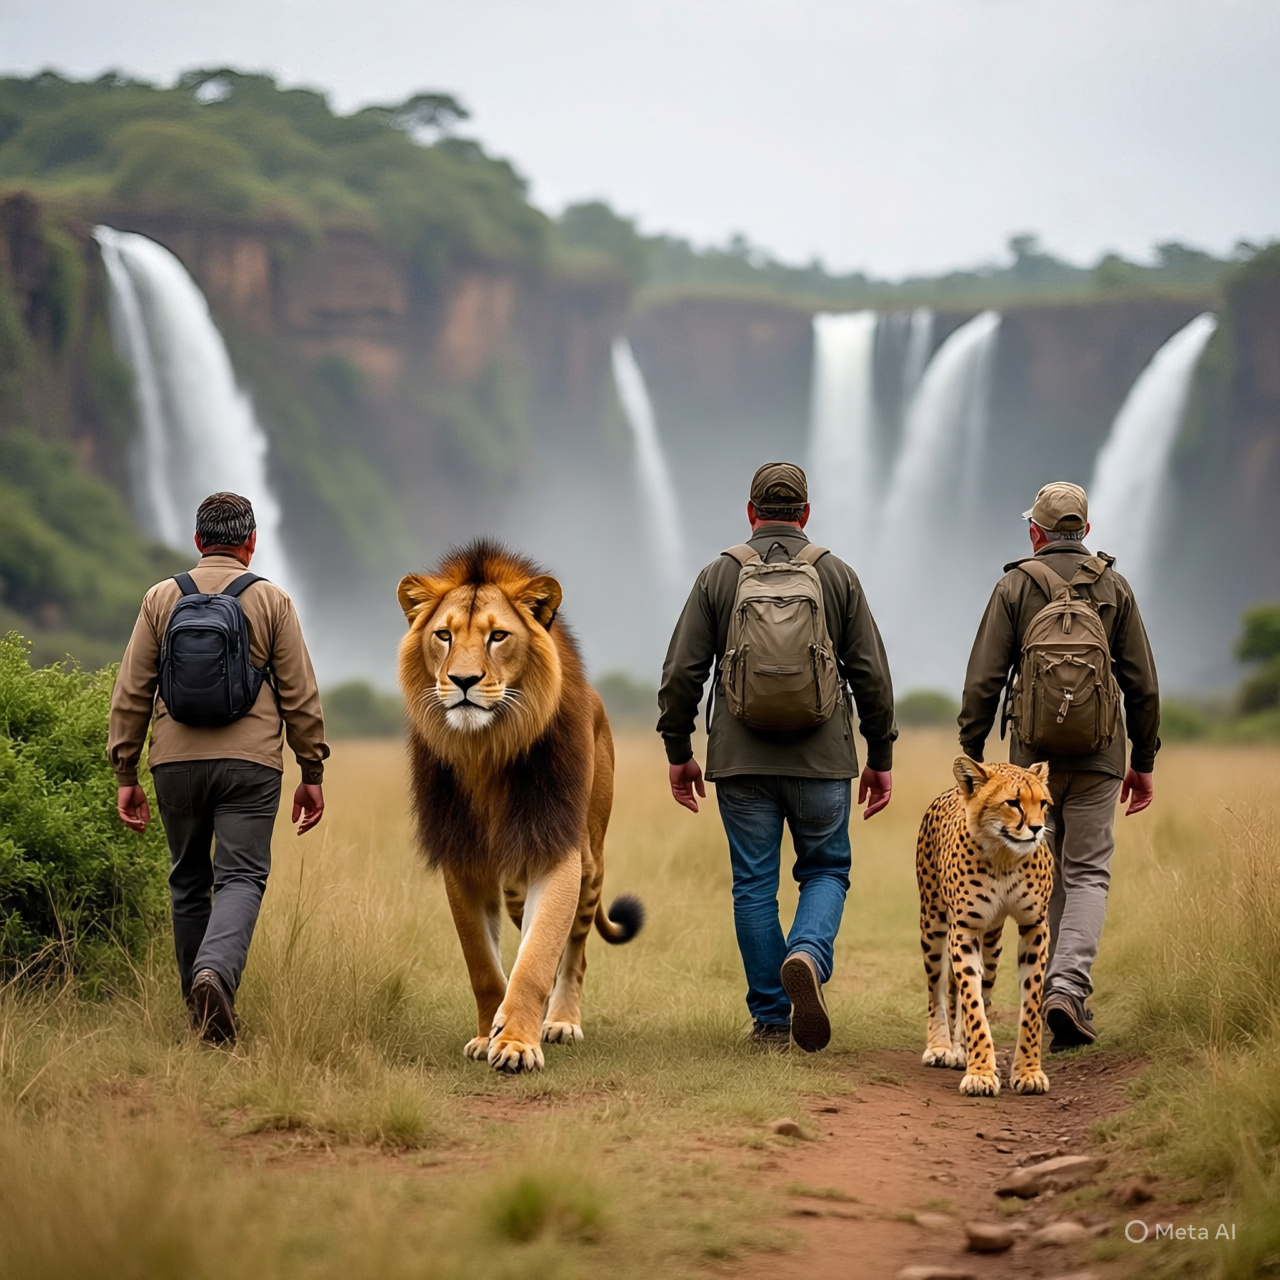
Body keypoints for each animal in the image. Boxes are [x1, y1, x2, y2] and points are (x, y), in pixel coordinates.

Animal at [397, 540, 643, 1073]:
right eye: (444, 635)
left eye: (498, 637)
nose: (463, 680)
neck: (485, 749)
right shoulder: (462, 859)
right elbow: (485, 967)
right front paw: (487, 1034)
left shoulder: (556, 848)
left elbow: (537, 957)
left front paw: (515, 1044)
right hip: (512, 883)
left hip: (591, 861)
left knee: (575, 949)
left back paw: (561, 1021)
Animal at [916, 756, 1054, 1097]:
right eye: (1013, 803)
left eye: (1043, 803)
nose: (1036, 829)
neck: (1004, 854)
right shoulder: (964, 930)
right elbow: (972, 1005)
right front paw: (980, 1073)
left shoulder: (1035, 926)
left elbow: (1029, 1006)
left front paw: (1028, 1071)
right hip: (933, 923)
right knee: (937, 987)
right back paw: (942, 1046)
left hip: (991, 942)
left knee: (983, 983)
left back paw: (961, 1047)